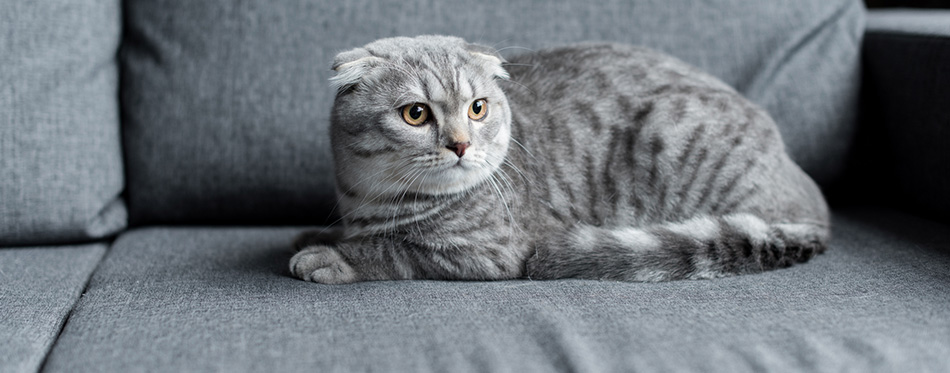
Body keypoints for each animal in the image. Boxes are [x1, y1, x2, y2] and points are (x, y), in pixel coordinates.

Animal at [292, 36, 832, 284]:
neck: (374, 200)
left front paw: (333, 255)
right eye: (416, 113)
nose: (461, 144)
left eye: (477, 108)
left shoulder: (489, 250)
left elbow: (395, 250)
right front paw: (317, 234)